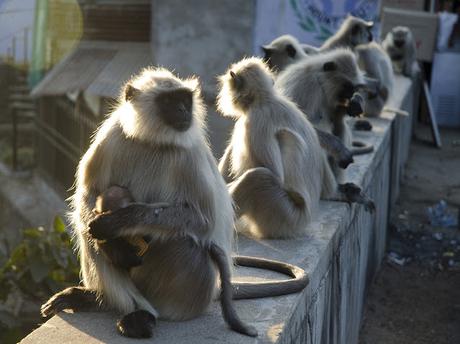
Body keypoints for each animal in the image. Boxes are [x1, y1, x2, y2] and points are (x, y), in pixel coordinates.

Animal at [38, 68, 310, 338]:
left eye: (184, 99)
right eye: (169, 101)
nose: (183, 110)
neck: (152, 140)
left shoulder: (188, 154)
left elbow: (201, 220)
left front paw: (121, 221)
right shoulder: (112, 135)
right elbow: (89, 194)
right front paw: (114, 246)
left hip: (192, 289)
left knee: (180, 242)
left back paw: (143, 314)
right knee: (89, 232)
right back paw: (104, 298)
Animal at [217, 57, 374, 239]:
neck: (265, 99)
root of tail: (304, 221)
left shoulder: (255, 121)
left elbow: (274, 174)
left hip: (283, 216)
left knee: (259, 177)